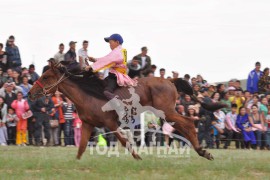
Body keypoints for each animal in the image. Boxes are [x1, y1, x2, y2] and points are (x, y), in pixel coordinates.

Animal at [28, 60, 225, 160]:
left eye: (46, 77)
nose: (30, 93)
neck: (88, 95)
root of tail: (169, 80)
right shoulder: (87, 124)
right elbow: (81, 148)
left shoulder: (110, 123)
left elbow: (124, 142)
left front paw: (138, 158)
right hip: (165, 113)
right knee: (183, 126)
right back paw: (201, 151)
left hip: (166, 111)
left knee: (189, 122)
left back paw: (203, 151)